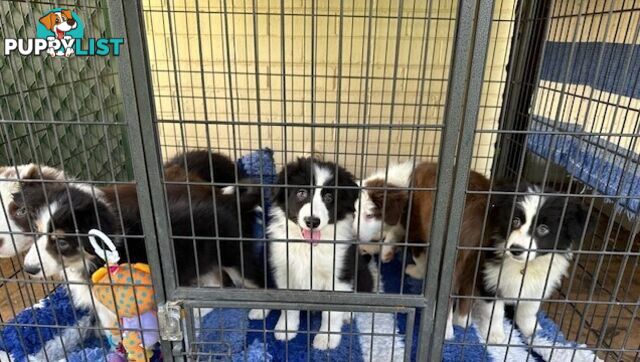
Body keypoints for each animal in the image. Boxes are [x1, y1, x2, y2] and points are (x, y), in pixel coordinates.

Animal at [248, 158, 372, 350]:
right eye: (301, 193)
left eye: (329, 197)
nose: (312, 222)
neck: (308, 247)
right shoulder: (285, 270)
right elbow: (287, 304)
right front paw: (286, 328)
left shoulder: (339, 274)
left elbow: (332, 312)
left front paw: (327, 338)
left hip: (361, 271)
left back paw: (347, 314)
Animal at [356, 160, 490, 338]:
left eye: (369, 215)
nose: (354, 237)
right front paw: (386, 251)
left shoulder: (416, 231)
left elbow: (419, 257)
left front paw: (413, 269)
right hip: (478, 256)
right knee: (469, 286)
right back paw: (462, 320)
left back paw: (446, 330)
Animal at [476, 184, 592, 342]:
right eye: (515, 221)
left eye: (543, 229)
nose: (515, 249)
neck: (526, 265)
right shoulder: (490, 277)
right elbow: (494, 312)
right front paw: (495, 336)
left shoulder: (538, 286)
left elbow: (528, 311)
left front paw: (534, 332)